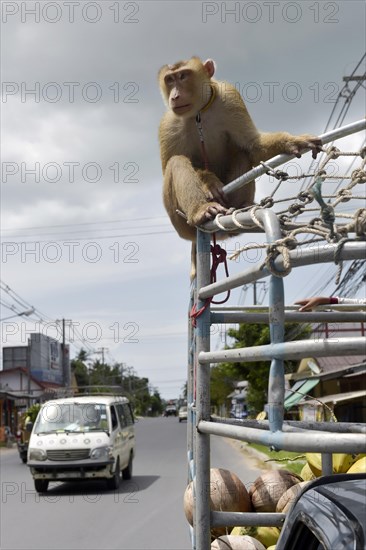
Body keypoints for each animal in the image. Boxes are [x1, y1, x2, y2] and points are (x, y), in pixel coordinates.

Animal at [157, 57, 320, 276]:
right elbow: (167, 168)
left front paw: (295, 141)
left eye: (183, 76)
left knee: (241, 152)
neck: (199, 112)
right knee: (176, 162)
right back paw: (201, 210)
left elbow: (252, 145)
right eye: (169, 79)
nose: (174, 96)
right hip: (180, 223)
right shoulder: (168, 124)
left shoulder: (230, 98)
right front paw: (209, 182)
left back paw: (243, 206)